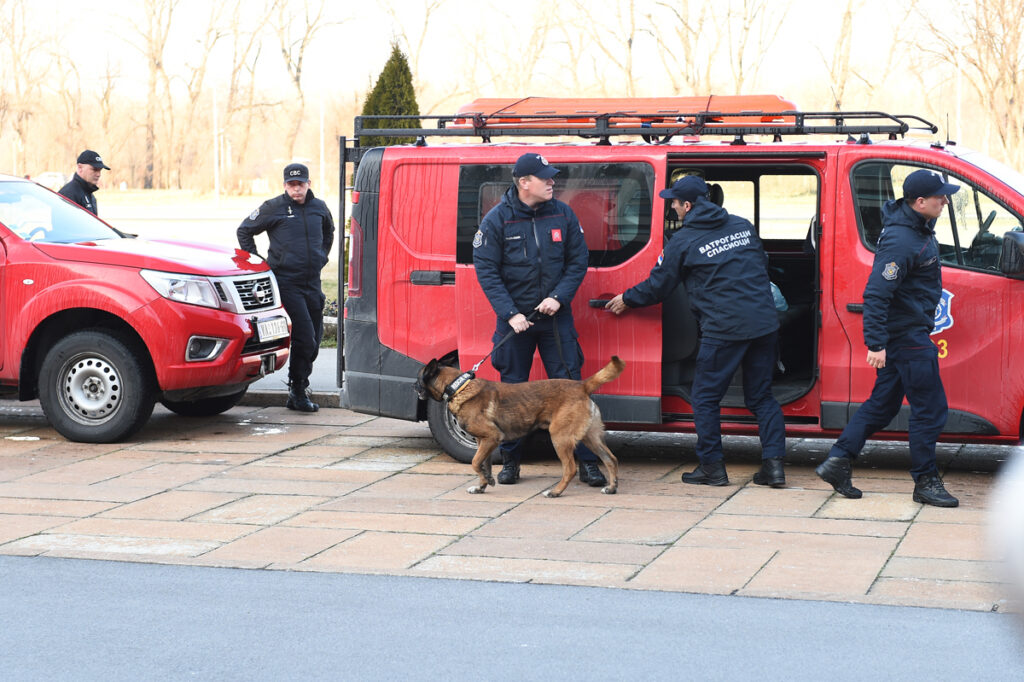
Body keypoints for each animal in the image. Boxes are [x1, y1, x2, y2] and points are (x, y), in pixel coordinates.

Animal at [413, 356, 622, 493]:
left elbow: (474, 462)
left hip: (560, 438)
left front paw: (484, 481)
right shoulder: (483, 442)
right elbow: (482, 464)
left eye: (418, 379)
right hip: (590, 438)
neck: (459, 387)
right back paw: (611, 488)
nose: (413, 387)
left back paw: (556, 492)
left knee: (570, 469)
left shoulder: (491, 438)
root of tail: (582, 385)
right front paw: (482, 485)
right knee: (611, 459)